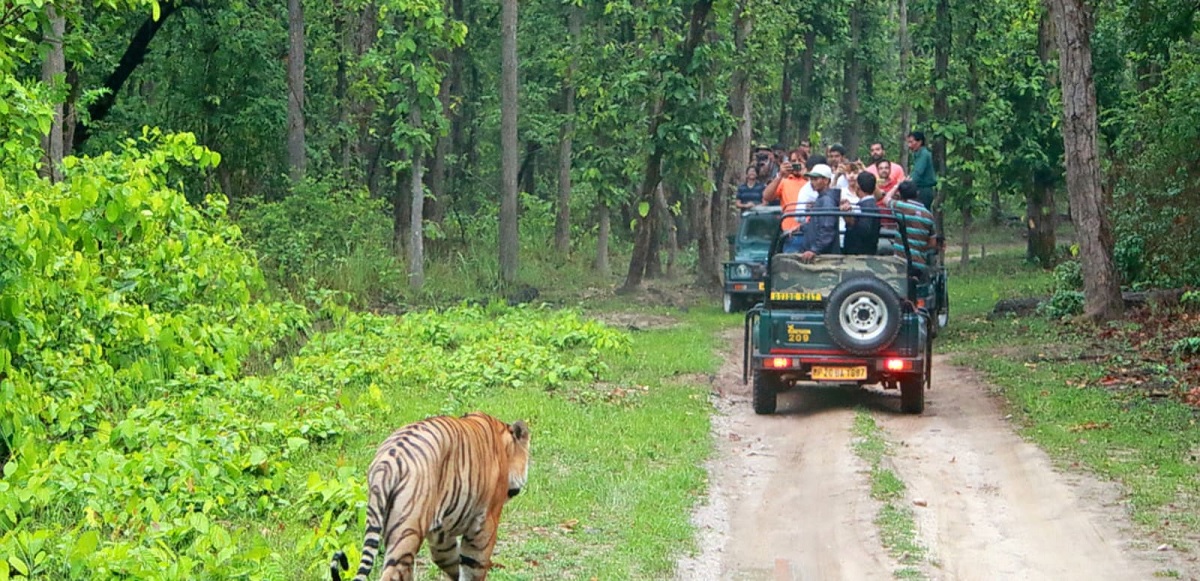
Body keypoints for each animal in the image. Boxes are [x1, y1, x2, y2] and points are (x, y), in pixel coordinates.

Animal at [331, 412, 532, 581]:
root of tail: (387, 462)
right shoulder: (486, 523)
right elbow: (473, 567)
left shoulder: (441, 535)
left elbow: (451, 562)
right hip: (408, 532)